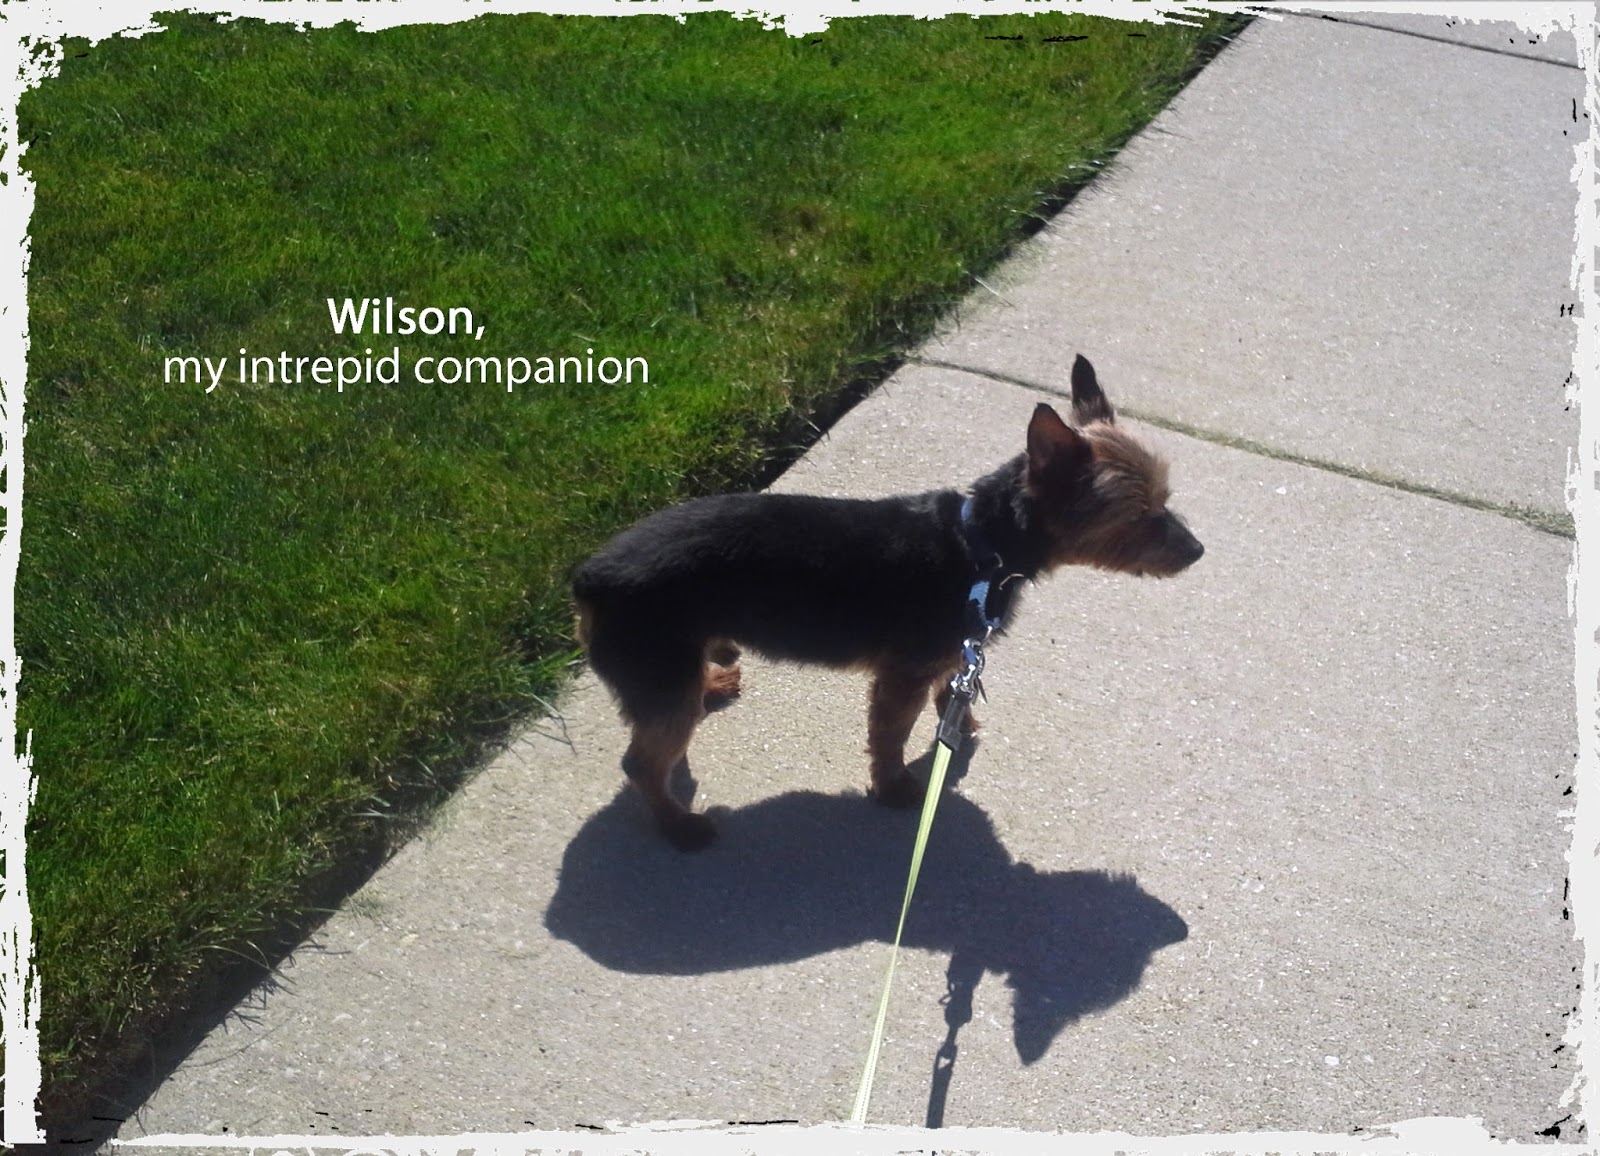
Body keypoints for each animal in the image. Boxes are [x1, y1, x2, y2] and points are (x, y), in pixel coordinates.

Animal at [572, 355, 1202, 850]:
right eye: (1141, 516)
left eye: (1166, 499)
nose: (1198, 550)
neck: (984, 545)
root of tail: (589, 577)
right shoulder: (903, 672)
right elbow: (892, 733)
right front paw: (896, 786)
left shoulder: (951, 650)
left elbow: (950, 689)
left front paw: (958, 718)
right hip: (657, 661)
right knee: (642, 761)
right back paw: (678, 826)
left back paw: (711, 686)